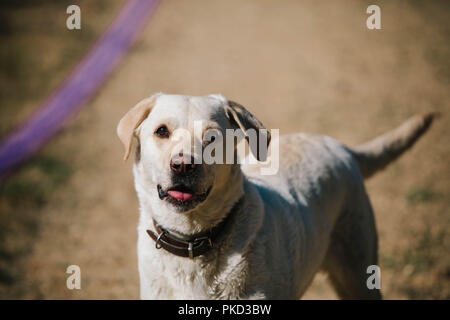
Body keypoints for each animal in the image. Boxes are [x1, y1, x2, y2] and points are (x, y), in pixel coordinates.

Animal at [118, 93, 434, 300]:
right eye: (162, 131)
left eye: (212, 138)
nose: (183, 164)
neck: (193, 241)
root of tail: (342, 148)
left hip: (359, 274)